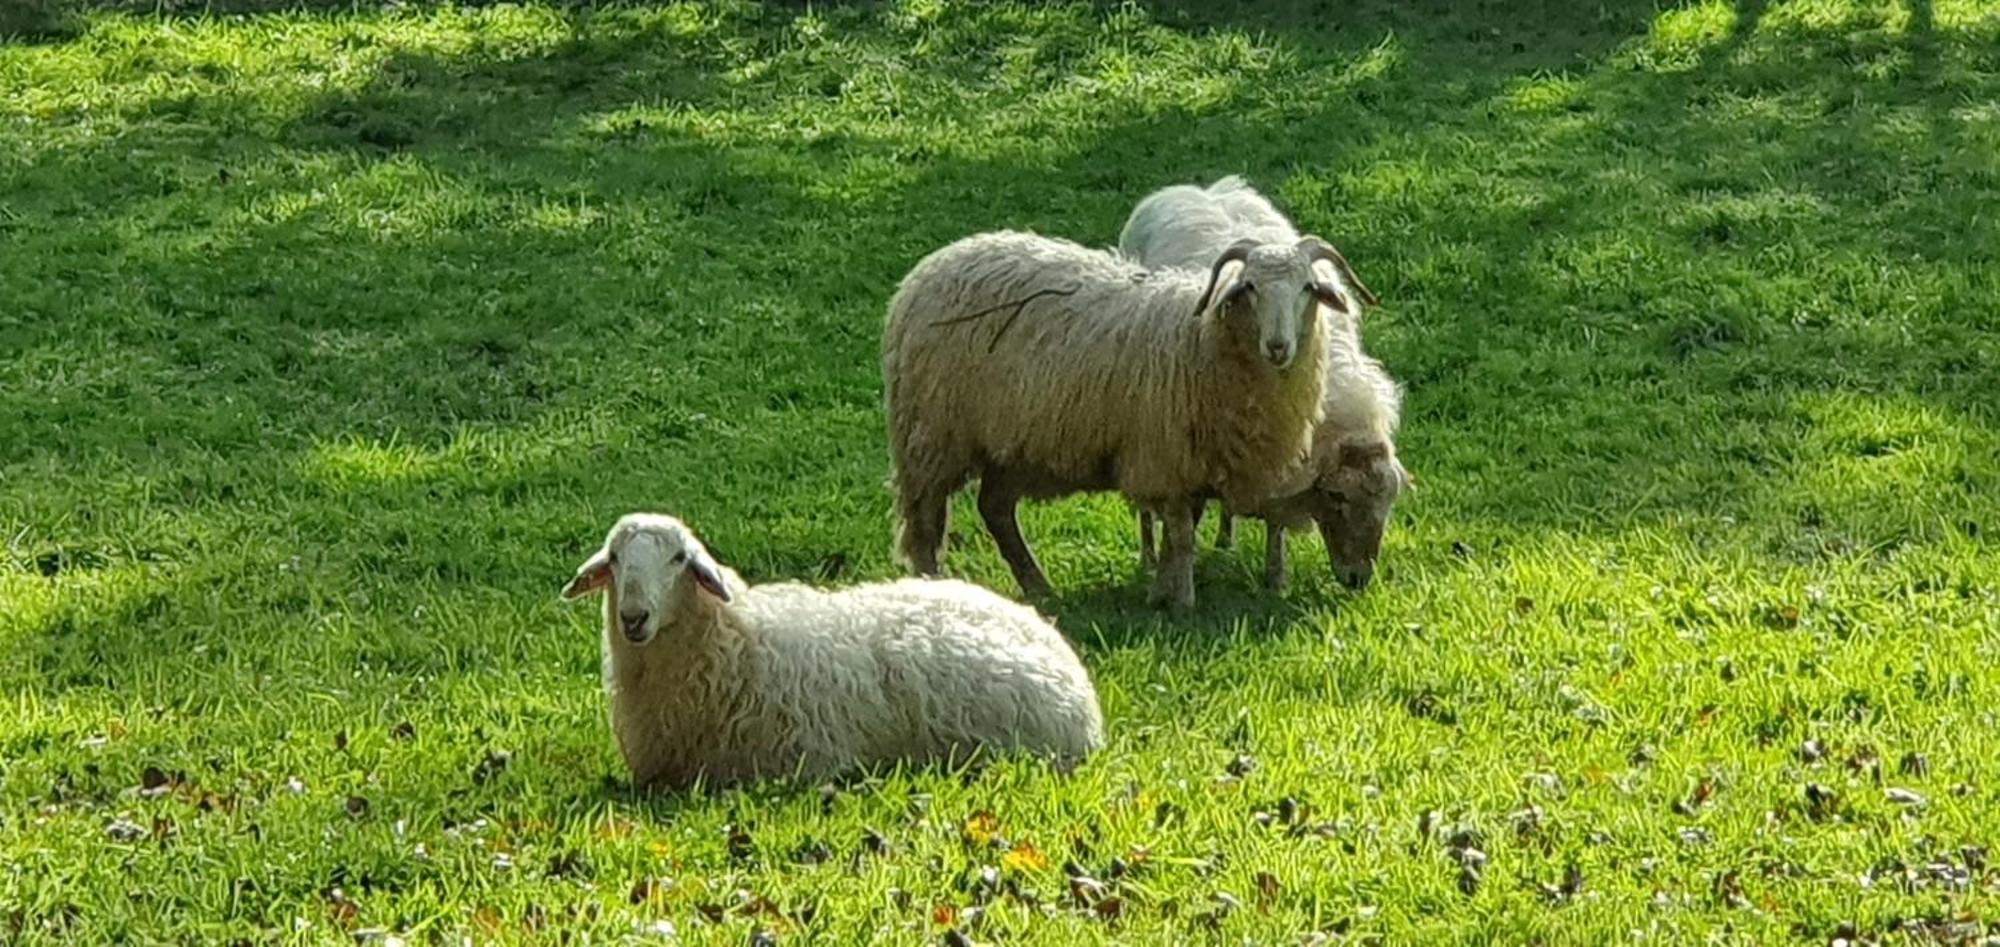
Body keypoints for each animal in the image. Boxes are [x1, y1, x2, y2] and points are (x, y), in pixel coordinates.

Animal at [876, 232, 1360, 611]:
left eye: (1308, 287)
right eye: (1251, 288)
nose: (1279, 346)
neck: (1202, 340)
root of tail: (927, 268)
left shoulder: (1188, 465)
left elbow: (1181, 530)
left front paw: (1161, 591)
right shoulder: (1164, 458)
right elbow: (1181, 534)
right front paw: (1181, 602)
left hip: (1010, 444)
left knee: (995, 510)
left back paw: (1040, 588)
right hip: (931, 437)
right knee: (924, 525)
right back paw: (934, 586)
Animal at [1128, 176, 1408, 587]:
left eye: (1389, 500)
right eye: (1337, 496)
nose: (1358, 580)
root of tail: (1201, 188)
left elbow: (1275, 520)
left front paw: (1275, 574)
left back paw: (1225, 540)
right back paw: (1148, 557)